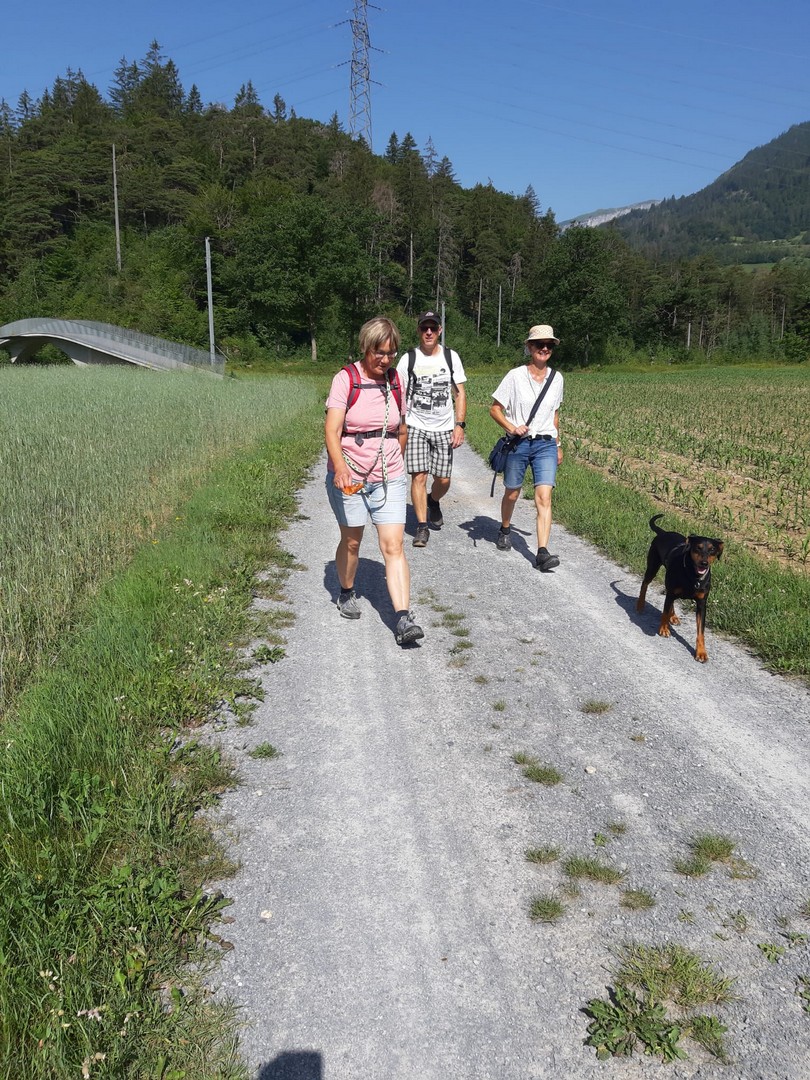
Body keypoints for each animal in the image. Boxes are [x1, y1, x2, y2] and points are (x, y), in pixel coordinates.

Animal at [636, 514, 724, 663]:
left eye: (712, 549)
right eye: (698, 548)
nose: (704, 563)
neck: (693, 576)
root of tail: (663, 533)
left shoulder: (702, 604)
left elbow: (701, 631)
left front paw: (701, 652)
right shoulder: (671, 592)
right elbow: (664, 612)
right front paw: (664, 629)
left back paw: (674, 617)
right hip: (653, 566)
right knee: (645, 584)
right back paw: (640, 605)